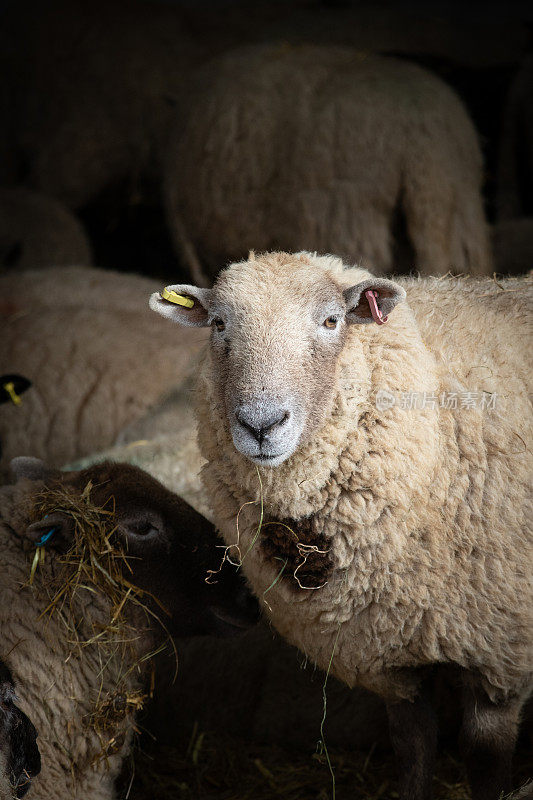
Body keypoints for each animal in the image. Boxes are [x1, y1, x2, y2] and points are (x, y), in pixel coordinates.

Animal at [150, 250, 532, 800]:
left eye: (332, 321)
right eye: (219, 324)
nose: (261, 424)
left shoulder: (499, 655)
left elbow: (484, 760)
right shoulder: (387, 653)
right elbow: (412, 745)